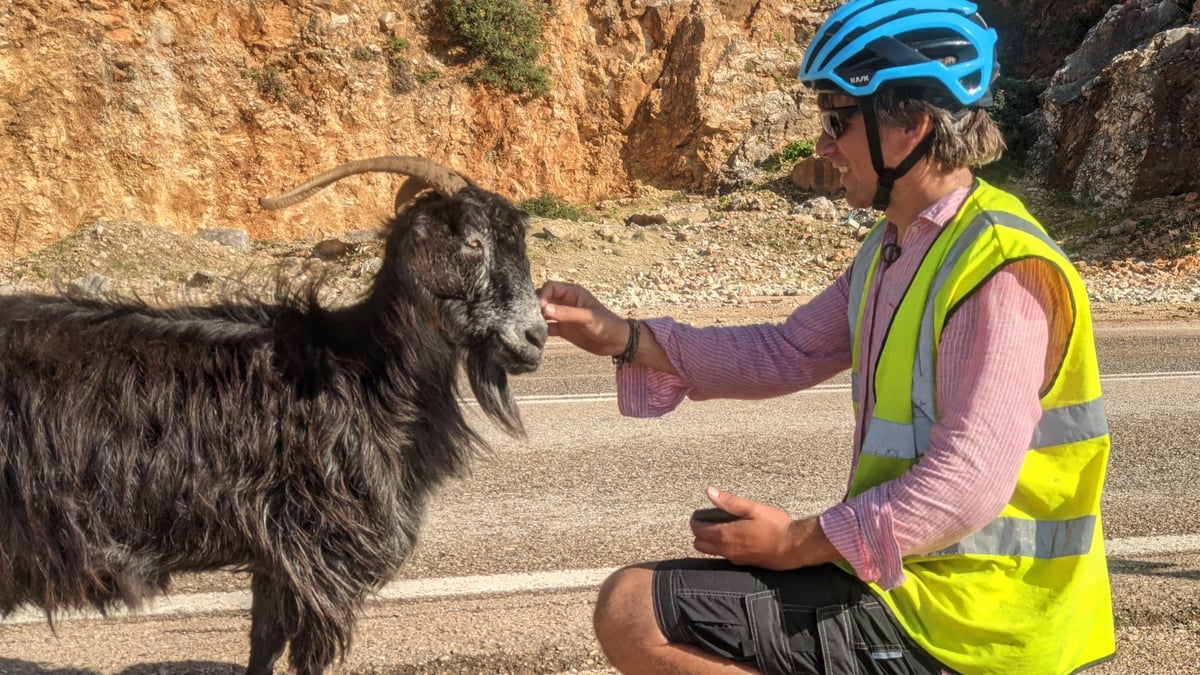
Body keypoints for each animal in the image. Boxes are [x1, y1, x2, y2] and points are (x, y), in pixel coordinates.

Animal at [0, 156, 547, 674]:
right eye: (473, 242)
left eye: (518, 244)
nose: (536, 337)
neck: (361, 366)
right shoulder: (319, 547)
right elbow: (305, 654)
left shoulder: (276, 553)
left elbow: (262, 643)